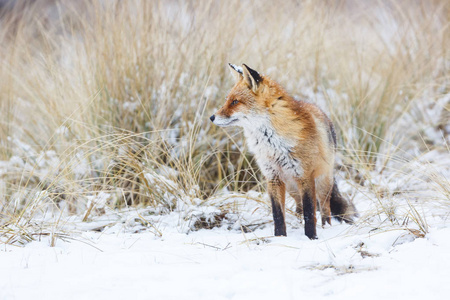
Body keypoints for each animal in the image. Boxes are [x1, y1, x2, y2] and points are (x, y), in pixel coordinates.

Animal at [209, 63, 356, 239]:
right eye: (227, 100)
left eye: (235, 102)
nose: (211, 117)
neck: (273, 144)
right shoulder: (273, 177)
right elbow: (278, 214)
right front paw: (279, 238)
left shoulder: (305, 176)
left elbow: (309, 213)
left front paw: (311, 238)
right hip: (292, 187)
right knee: (300, 207)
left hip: (322, 183)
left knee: (324, 208)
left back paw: (325, 228)